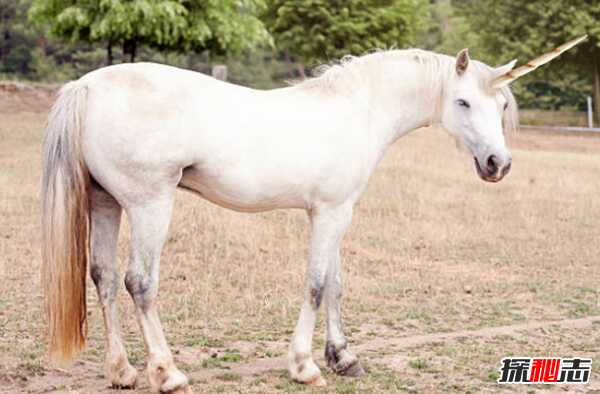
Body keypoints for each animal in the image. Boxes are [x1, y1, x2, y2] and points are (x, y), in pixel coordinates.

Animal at [42, 41, 572, 392]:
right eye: (462, 101)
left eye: (500, 104)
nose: (497, 164)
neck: (356, 111)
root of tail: (87, 86)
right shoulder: (331, 213)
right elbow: (316, 285)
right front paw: (304, 365)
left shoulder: (334, 213)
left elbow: (335, 284)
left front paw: (343, 358)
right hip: (151, 205)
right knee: (139, 283)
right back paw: (167, 372)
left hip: (106, 204)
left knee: (104, 279)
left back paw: (122, 371)